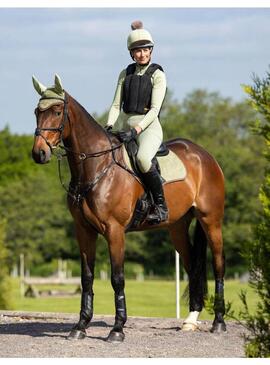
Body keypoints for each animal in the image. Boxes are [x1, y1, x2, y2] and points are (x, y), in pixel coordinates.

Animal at [31, 74, 226, 342]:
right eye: (36, 112)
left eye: (58, 111)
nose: (38, 153)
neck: (95, 167)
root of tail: (205, 156)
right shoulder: (83, 231)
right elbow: (87, 277)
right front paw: (80, 326)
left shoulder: (114, 232)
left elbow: (117, 278)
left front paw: (117, 329)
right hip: (177, 228)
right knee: (192, 267)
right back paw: (190, 320)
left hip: (211, 221)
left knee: (218, 265)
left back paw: (219, 322)